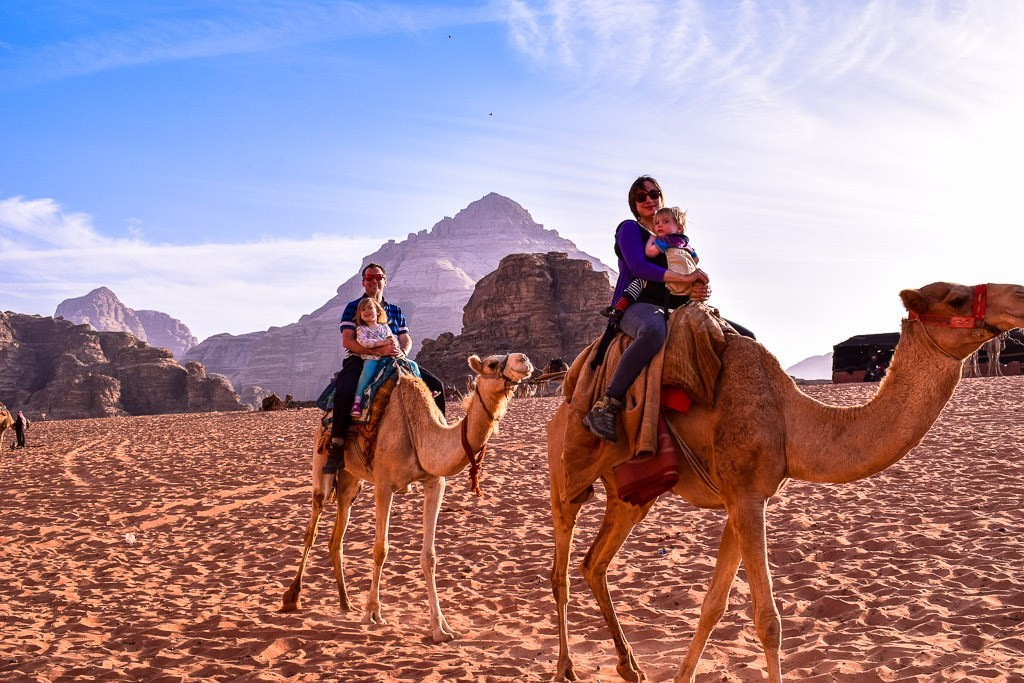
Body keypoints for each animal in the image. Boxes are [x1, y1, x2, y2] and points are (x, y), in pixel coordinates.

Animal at [282, 352, 533, 643]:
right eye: (492, 363)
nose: (523, 360)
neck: (420, 432)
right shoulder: (384, 485)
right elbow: (380, 549)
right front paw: (372, 613)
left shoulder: (435, 482)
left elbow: (429, 556)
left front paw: (441, 628)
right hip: (321, 458)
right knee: (313, 523)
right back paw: (292, 597)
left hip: (350, 481)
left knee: (337, 534)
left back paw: (346, 603)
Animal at [548, 282, 1024, 682]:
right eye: (957, 298)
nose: (1019, 295)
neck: (790, 421)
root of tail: (566, 394)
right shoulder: (744, 497)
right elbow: (768, 620)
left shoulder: (743, 499)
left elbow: (713, 604)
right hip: (567, 473)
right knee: (562, 567)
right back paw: (566, 667)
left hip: (630, 494)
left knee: (594, 563)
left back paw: (629, 666)